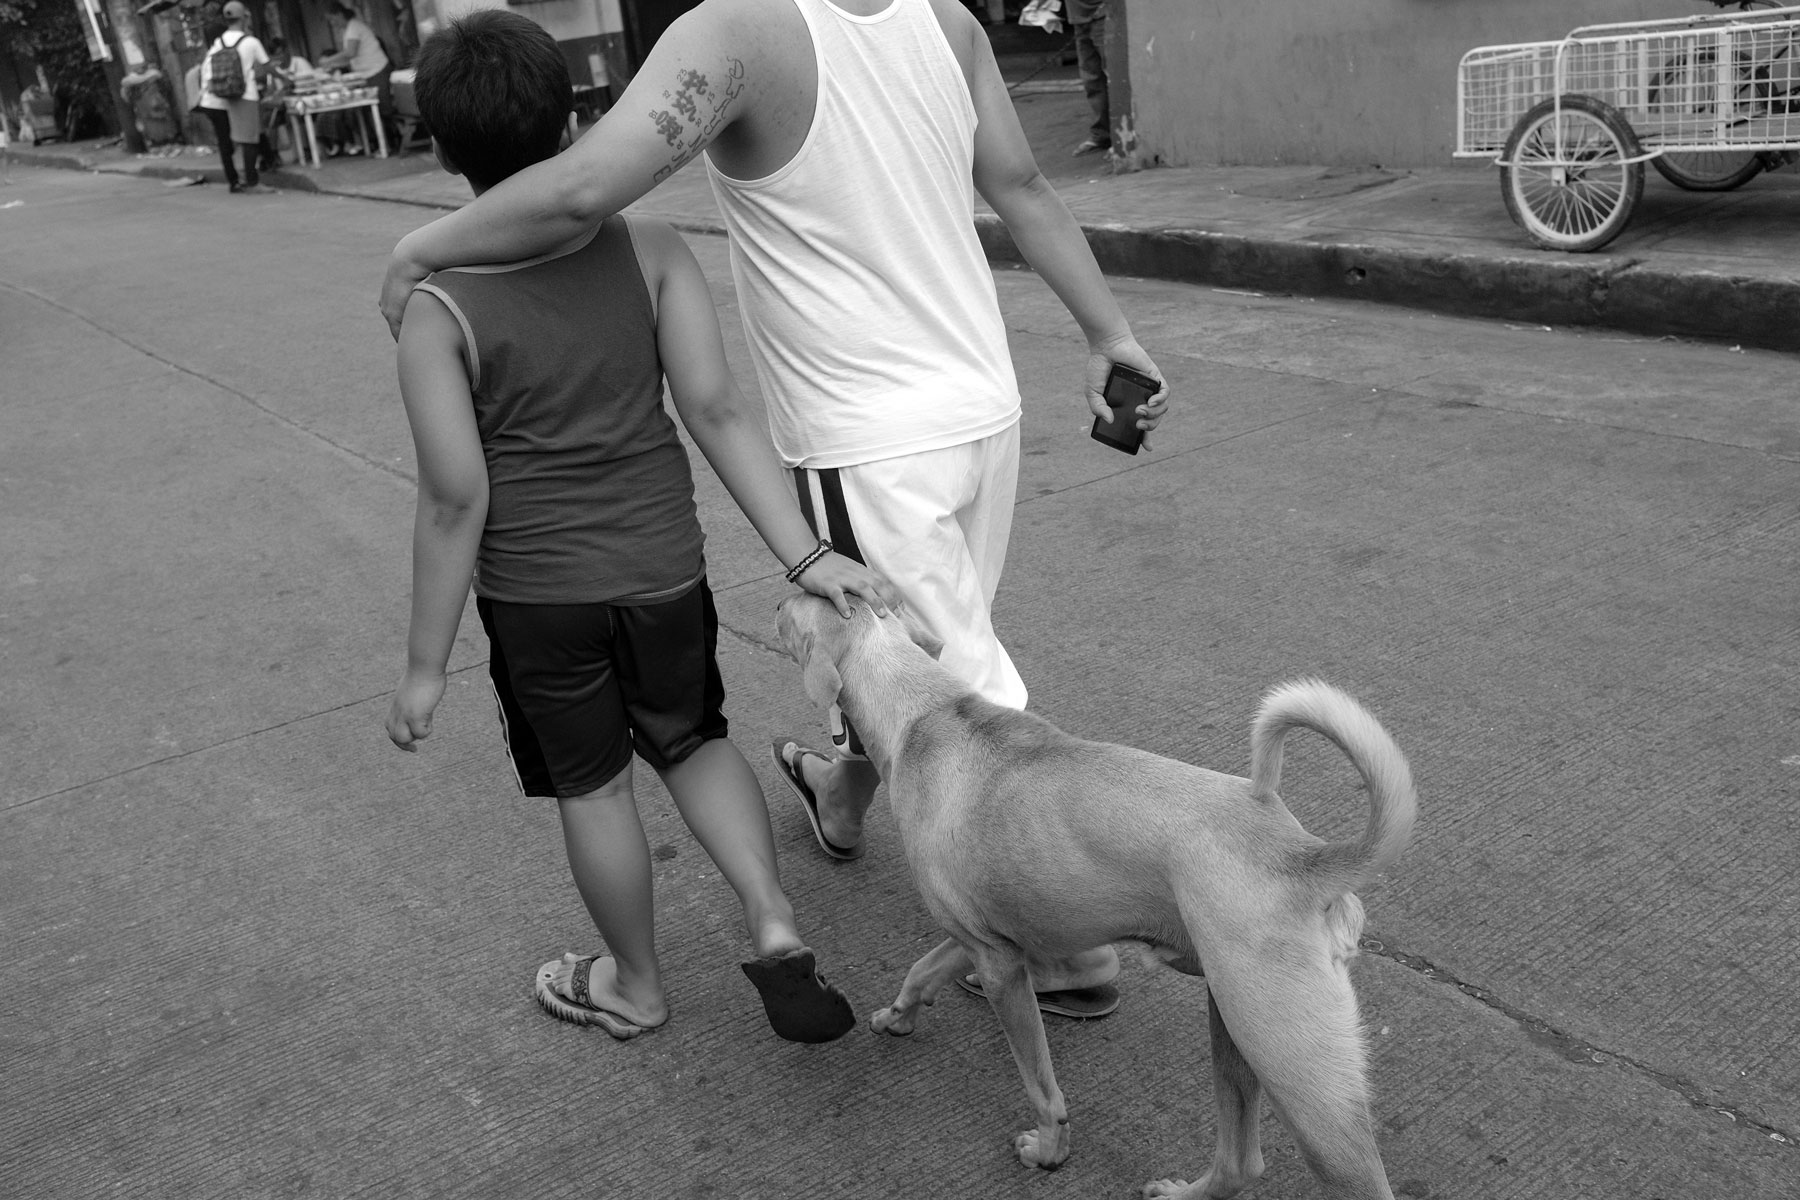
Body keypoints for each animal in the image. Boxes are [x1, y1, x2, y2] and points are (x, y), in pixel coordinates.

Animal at [774, 597, 1418, 1194]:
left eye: (790, 612)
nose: (779, 594)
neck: (922, 713)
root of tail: (1306, 857)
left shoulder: (1002, 968)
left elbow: (1041, 1085)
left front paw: (1049, 1151)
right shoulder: (985, 939)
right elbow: (920, 970)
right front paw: (898, 1017)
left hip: (1292, 1067)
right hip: (1236, 1025)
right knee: (1241, 1163)